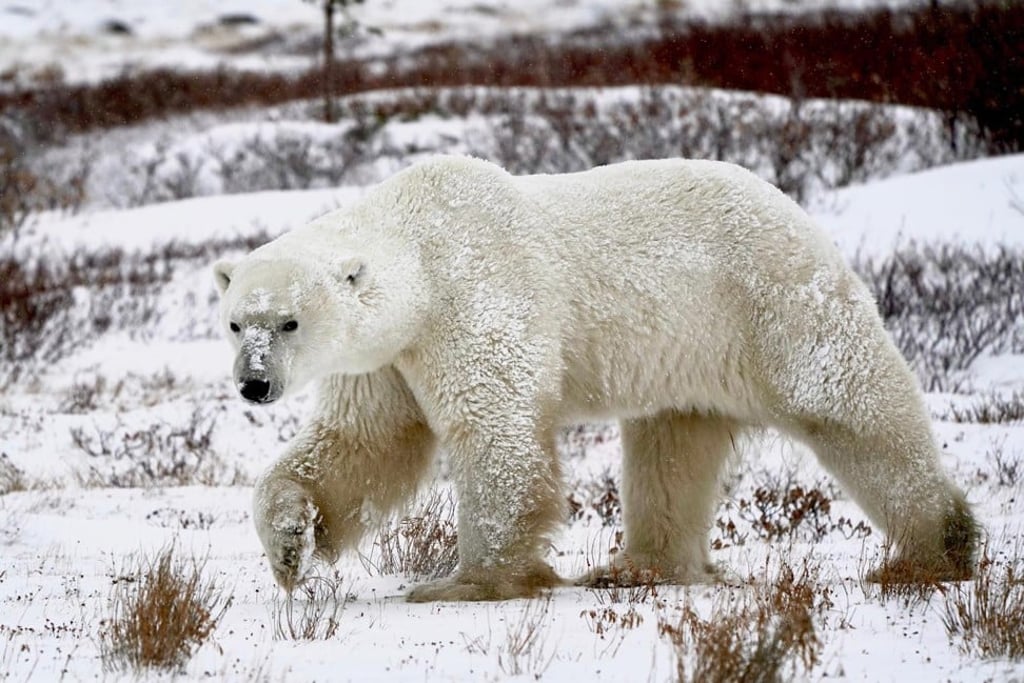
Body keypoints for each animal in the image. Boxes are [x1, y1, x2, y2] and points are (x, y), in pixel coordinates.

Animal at [213, 155, 978, 602]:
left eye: (289, 322)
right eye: (236, 322)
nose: (253, 385)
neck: (424, 250)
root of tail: (796, 209)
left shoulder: (481, 296)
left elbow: (495, 432)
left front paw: (467, 582)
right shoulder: (392, 355)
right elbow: (365, 442)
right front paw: (290, 542)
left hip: (771, 302)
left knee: (852, 406)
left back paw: (935, 548)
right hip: (690, 345)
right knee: (671, 447)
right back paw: (639, 565)